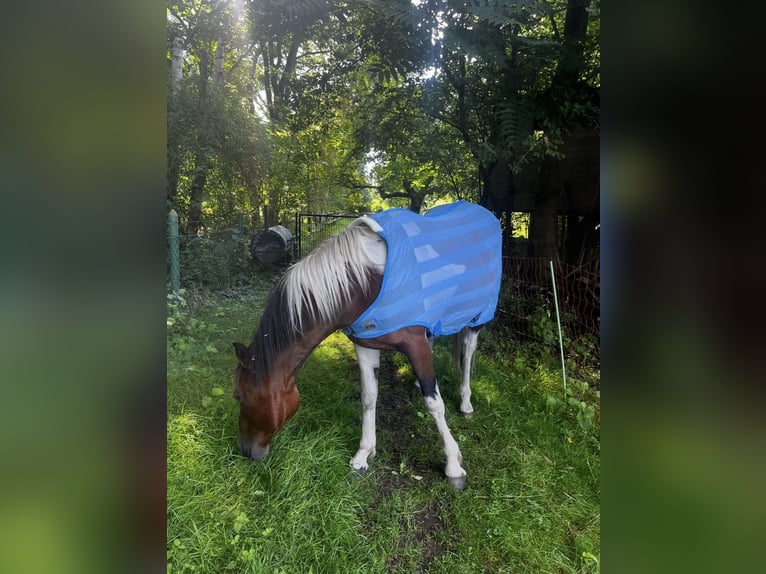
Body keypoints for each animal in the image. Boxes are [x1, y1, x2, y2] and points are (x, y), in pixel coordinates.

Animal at [232, 200, 502, 490]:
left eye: (239, 396)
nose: (246, 451)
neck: (365, 282)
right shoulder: (366, 344)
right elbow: (369, 397)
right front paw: (363, 454)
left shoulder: (414, 342)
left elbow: (434, 404)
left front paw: (453, 466)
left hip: (477, 317)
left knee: (468, 354)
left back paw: (466, 403)